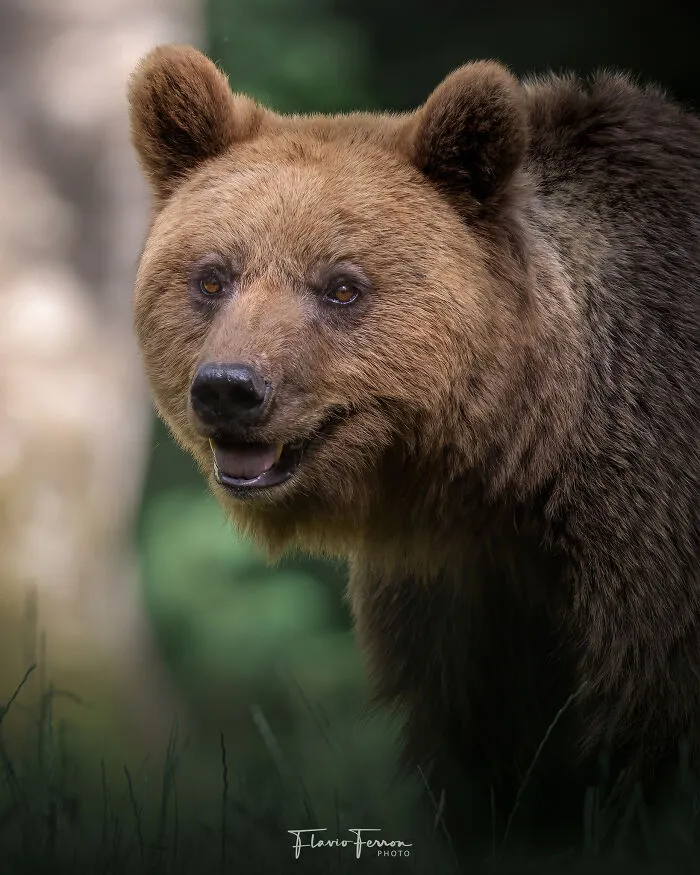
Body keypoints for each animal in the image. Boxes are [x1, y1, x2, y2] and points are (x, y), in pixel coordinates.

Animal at [127, 45, 700, 852]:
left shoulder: (649, 541)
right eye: (212, 276)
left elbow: (646, 739)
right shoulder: (458, 593)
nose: (230, 388)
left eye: (341, 286)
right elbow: (483, 750)